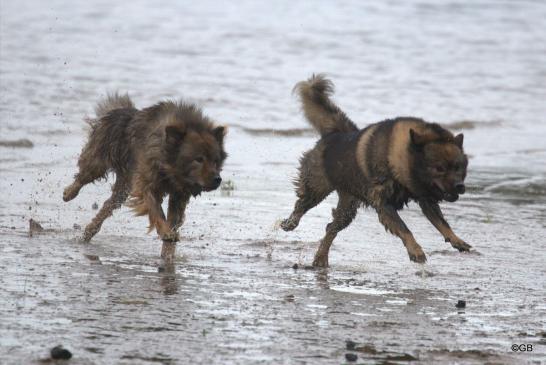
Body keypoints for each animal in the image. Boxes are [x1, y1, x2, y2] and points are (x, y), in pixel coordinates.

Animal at [62, 92, 226, 243]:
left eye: (216, 160)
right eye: (198, 159)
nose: (217, 179)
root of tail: (119, 111)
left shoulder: (179, 193)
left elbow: (174, 215)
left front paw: (172, 230)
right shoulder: (146, 182)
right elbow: (156, 209)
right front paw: (165, 231)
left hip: (124, 186)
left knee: (108, 204)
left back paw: (90, 230)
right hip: (98, 161)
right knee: (83, 177)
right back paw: (69, 193)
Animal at [280, 74, 468, 268]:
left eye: (458, 167)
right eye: (439, 168)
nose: (460, 186)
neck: (398, 158)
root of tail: (334, 134)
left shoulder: (425, 197)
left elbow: (441, 222)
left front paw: (457, 240)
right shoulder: (384, 203)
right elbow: (404, 229)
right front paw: (416, 251)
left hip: (348, 207)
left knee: (331, 227)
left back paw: (321, 258)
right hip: (316, 187)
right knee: (302, 205)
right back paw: (290, 223)